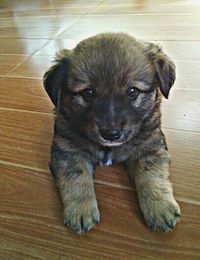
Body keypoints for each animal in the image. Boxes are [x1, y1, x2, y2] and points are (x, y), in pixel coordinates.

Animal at [43, 32, 181, 234]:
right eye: (88, 93)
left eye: (132, 91)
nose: (111, 134)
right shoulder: (67, 150)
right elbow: (76, 177)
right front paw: (81, 210)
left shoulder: (150, 146)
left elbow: (151, 174)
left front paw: (159, 207)